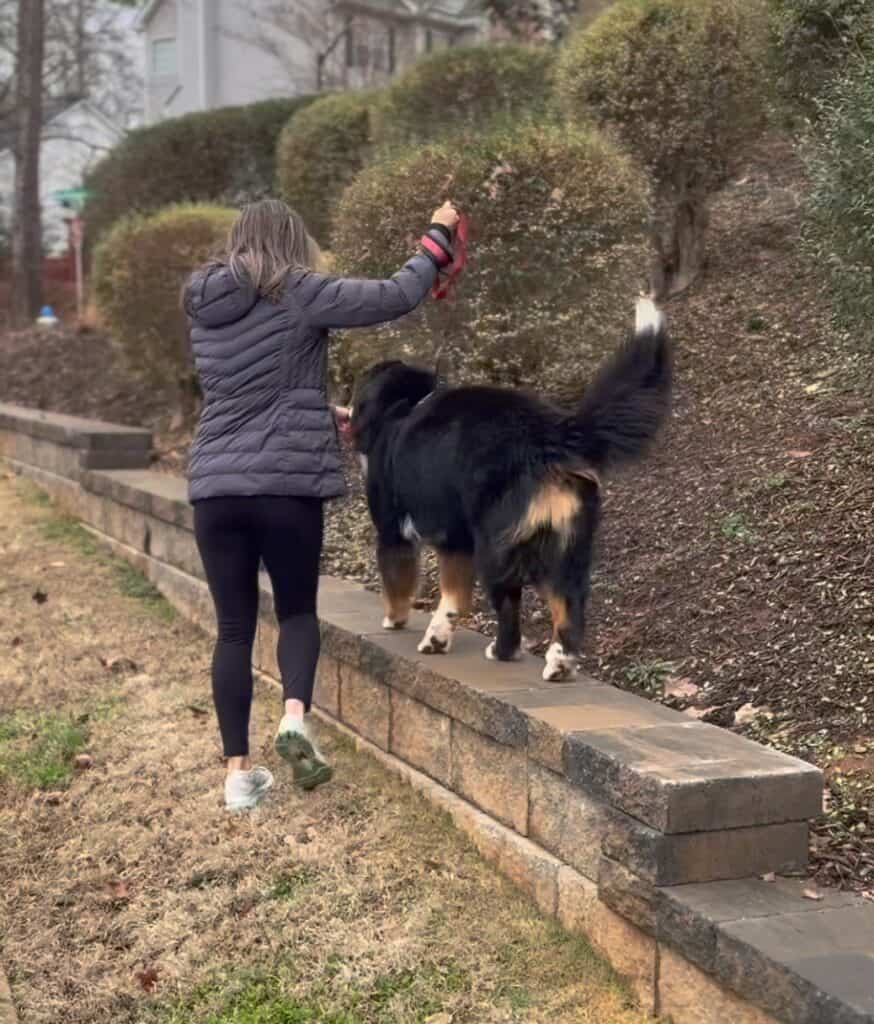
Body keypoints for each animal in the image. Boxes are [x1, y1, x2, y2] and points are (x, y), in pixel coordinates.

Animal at [350, 296, 671, 679]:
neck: (404, 405)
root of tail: (548, 433)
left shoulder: (393, 531)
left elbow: (398, 582)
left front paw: (395, 621)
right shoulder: (456, 542)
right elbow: (454, 596)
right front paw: (438, 637)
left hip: (496, 549)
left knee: (509, 608)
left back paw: (503, 651)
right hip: (568, 548)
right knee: (570, 606)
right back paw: (559, 663)